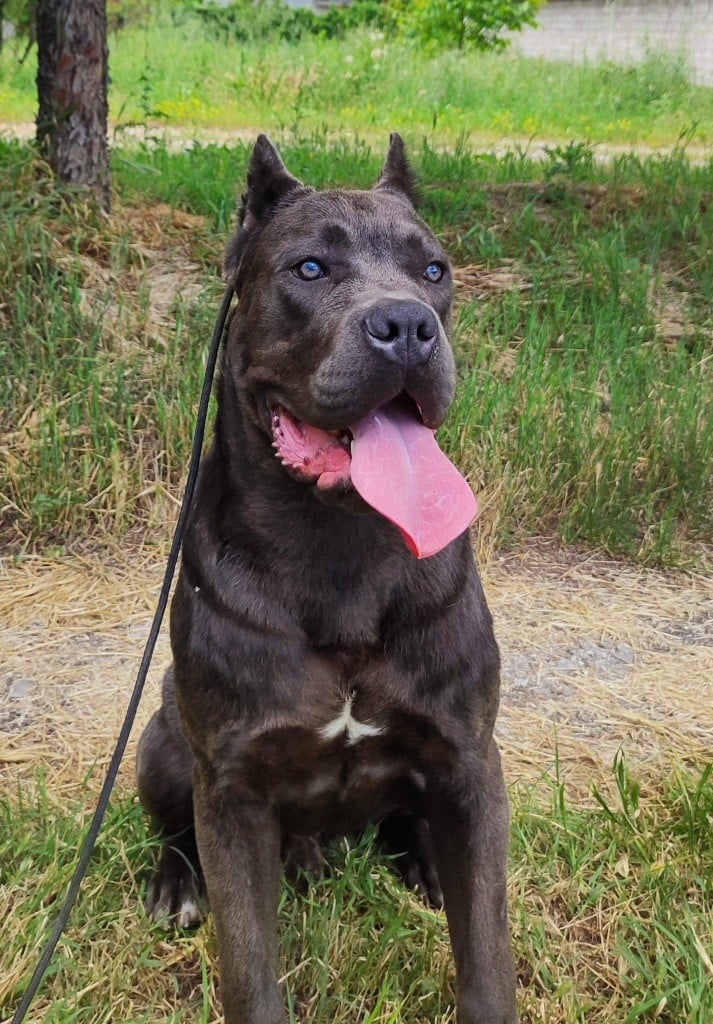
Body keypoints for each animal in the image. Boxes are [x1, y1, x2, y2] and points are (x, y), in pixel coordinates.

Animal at [136, 133, 517, 1024]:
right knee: (174, 827)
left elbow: (485, 955)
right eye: (310, 268)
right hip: (163, 738)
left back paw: (421, 859)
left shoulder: (472, 763)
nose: (406, 325)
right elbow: (248, 967)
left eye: (434, 270)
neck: (340, 544)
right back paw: (177, 884)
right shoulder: (231, 790)